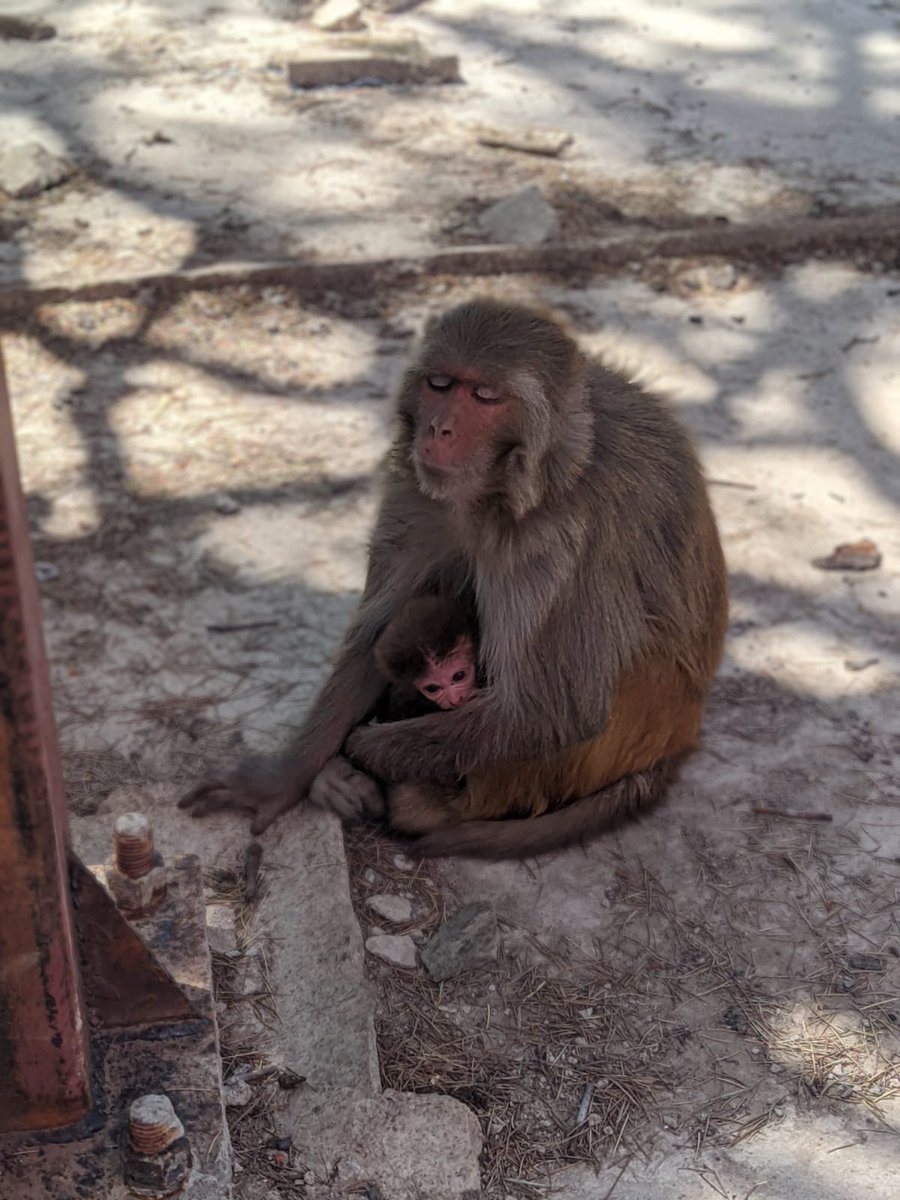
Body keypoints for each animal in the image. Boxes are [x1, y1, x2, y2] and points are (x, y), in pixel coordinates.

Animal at [180, 298, 728, 859]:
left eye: (484, 396)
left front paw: (360, 749)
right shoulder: (418, 492)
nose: (438, 429)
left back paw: (411, 799)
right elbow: (375, 637)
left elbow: (553, 712)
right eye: (439, 384)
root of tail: (675, 744)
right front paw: (287, 775)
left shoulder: (562, 540)